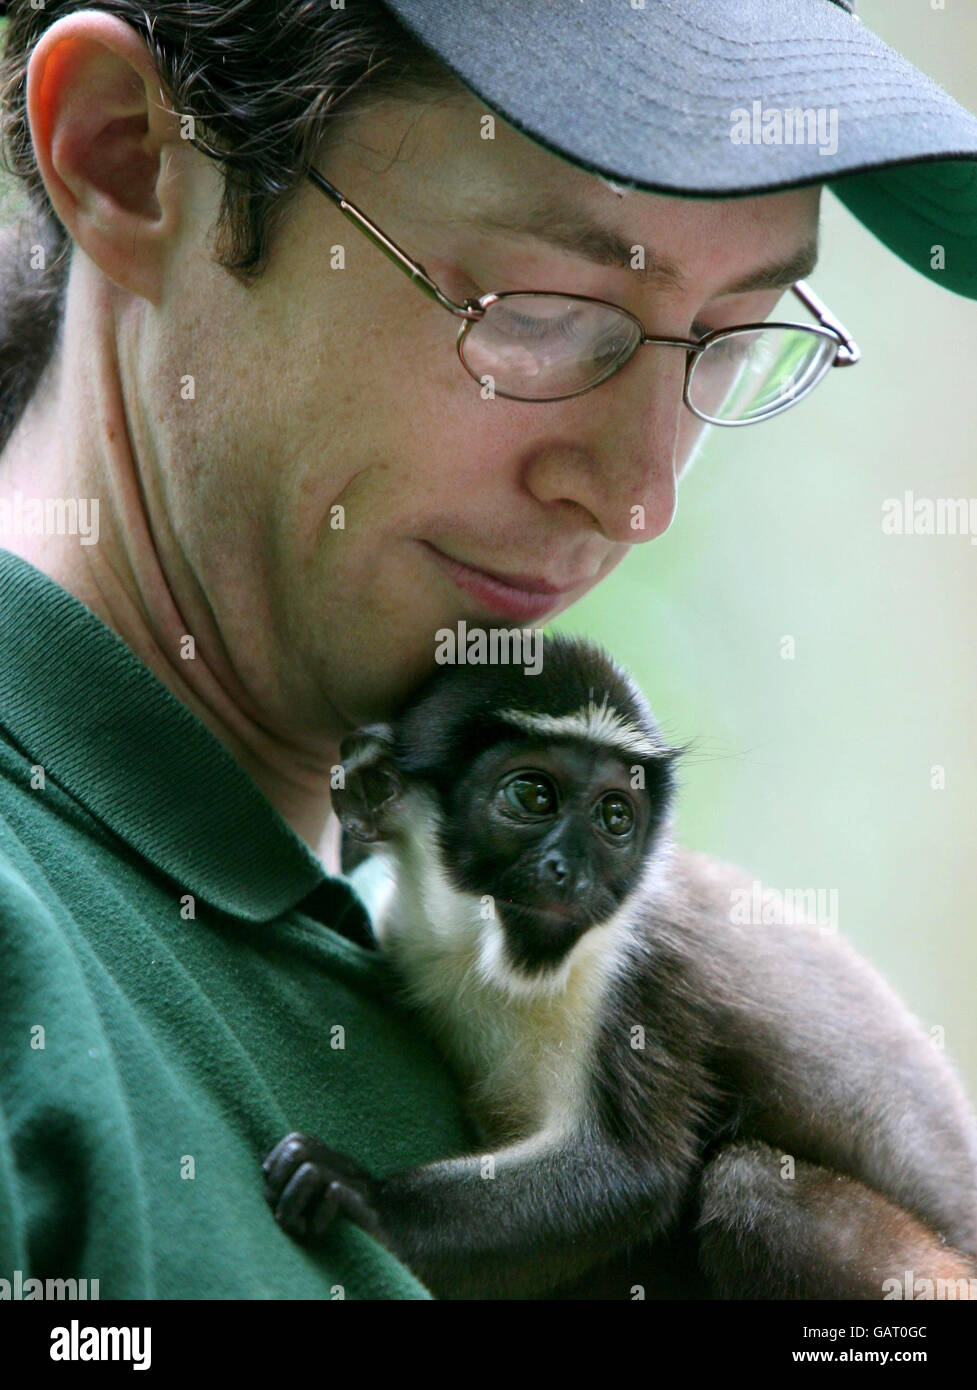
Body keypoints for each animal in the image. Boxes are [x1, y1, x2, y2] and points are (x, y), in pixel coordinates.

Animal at [263, 635, 977, 1299]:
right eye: (532, 795)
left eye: (614, 816)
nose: (572, 872)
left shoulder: (643, 973)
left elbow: (629, 1175)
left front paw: (366, 1199)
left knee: (751, 1188)